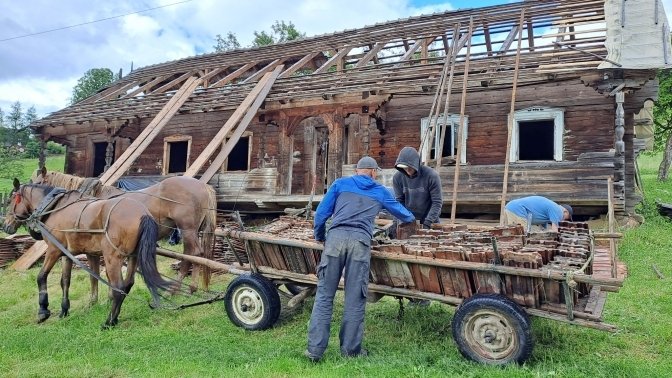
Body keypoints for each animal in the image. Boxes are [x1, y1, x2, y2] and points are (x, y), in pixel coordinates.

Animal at [4, 180, 173, 328]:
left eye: (11, 200)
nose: (5, 226)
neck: (55, 207)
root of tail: (143, 213)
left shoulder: (53, 250)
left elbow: (41, 277)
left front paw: (43, 311)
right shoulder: (67, 254)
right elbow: (65, 281)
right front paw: (64, 310)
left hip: (112, 257)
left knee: (118, 287)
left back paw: (109, 322)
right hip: (133, 256)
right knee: (127, 284)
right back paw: (114, 318)